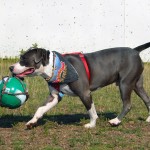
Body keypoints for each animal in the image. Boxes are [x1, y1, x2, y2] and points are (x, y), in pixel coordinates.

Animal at [9, 42, 150, 129]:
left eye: (23, 59)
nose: (10, 67)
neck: (54, 67)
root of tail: (135, 51)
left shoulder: (84, 93)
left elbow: (91, 111)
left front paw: (91, 125)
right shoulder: (54, 96)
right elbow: (40, 109)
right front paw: (32, 122)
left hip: (125, 84)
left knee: (127, 104)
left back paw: (116, 121)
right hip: (137, 85)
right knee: (147, 100)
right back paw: (148, 119)